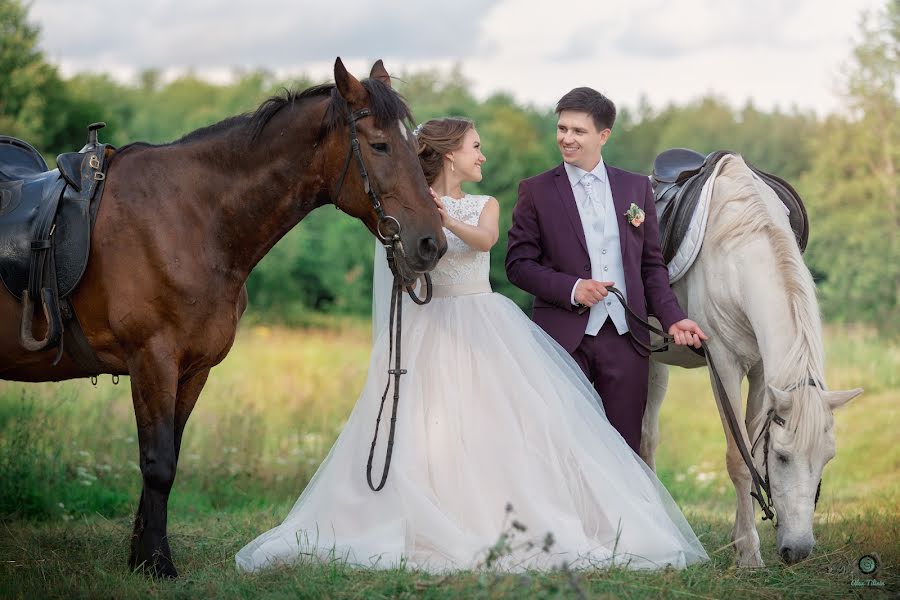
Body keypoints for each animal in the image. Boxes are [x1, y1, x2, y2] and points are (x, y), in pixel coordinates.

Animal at [0, 59, 446, 576]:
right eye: (379, 145)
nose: (431, 244)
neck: (190, 219)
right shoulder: (152, 359)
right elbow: (158, 463)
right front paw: (158, 563)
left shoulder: (192, 369)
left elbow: (166, 455)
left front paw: (141, 557)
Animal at [644, 155, 860, 568]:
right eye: (783, 457)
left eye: (828, 457)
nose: (798, 550)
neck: (737, 248)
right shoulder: (724, 366)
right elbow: (738, 458)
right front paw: (747, 554)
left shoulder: (762, 373)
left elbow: (750, 448)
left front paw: (743, 540)